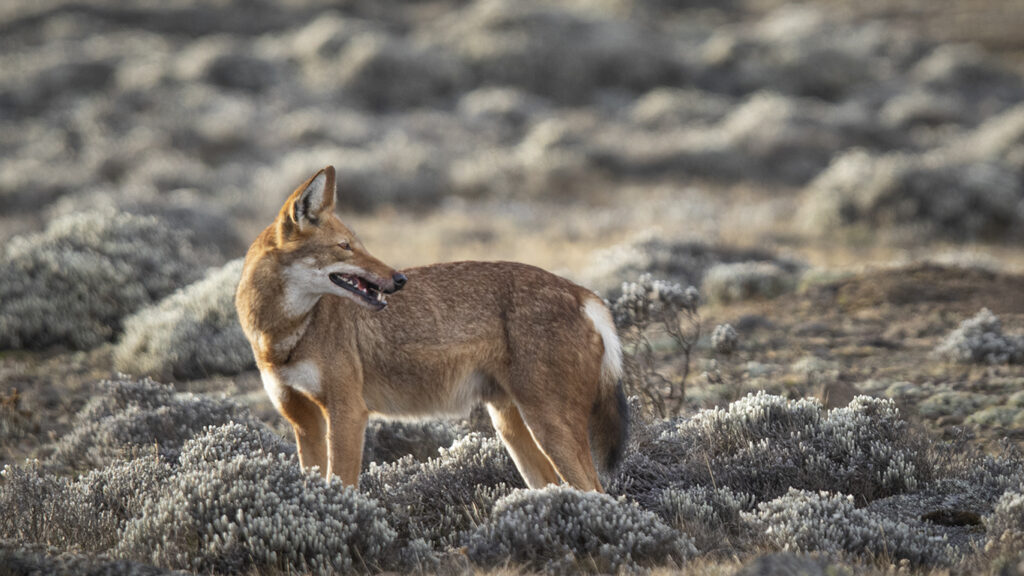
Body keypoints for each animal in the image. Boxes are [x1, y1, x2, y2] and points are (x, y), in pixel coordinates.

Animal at [235, 166, 628, 491]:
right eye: (345, 247)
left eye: (360, 246)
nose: (399, 279)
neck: (282, 335)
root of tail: (584, 294)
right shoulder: (304, 421)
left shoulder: (348, 412)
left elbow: (343, 487)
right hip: (513, 429)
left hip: (548, 428)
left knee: (598, 493)